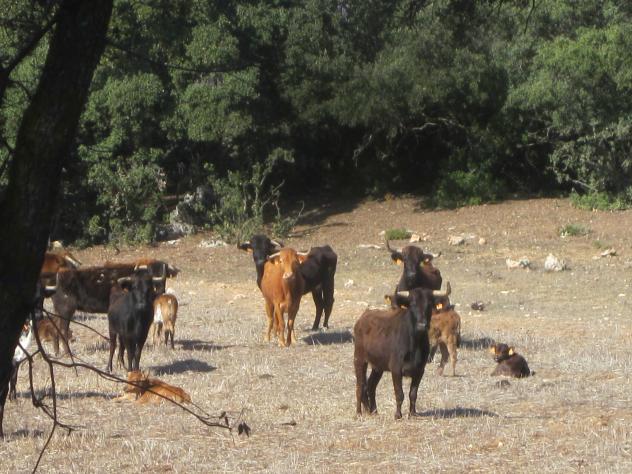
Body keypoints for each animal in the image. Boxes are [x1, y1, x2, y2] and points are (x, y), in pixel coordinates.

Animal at [356, 286, 450, 418]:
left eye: (429, 305)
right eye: (412, 304)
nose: (422, 325)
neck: (415, 344)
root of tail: (363, 318)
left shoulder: (420, 371)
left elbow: (413, 394)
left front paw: (413, 413)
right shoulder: (396, 370)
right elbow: (399, 393)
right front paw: (398, 415)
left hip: (378, 367)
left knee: (370, 386)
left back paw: (374, 411)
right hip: (359, 360)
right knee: (360, 386)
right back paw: (359, 412)